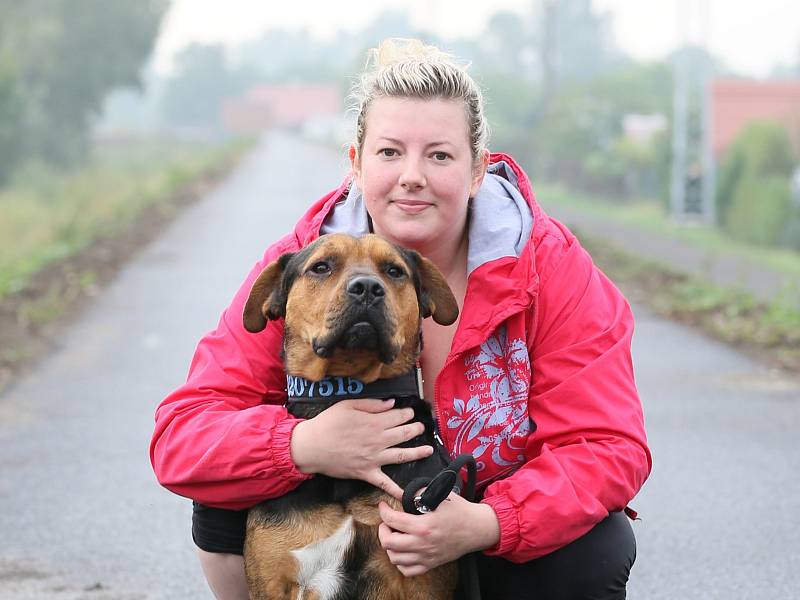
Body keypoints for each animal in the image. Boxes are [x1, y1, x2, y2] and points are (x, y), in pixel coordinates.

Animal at [241, 233, 460, 600]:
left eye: (394, 271)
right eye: (321, 267)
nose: (368, 288)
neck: (346, 390)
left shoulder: (422, 575)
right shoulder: (273, 582)